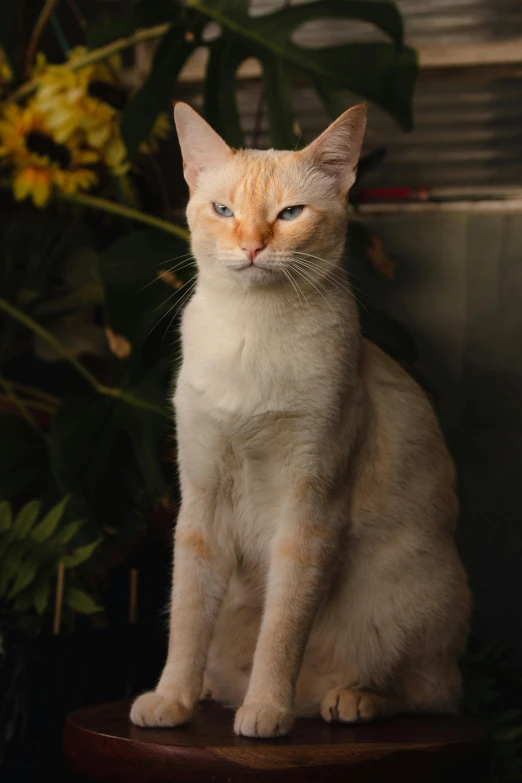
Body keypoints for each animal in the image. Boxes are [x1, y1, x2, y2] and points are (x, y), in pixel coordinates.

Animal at [129, 101, 468, 740]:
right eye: (224, 211)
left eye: (289, 214)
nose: (252, 247)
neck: (249, 333)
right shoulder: (202, 501)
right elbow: (186, 620)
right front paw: (171, 700)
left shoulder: (307, 512)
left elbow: (282, 630)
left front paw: (266, 711)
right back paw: (211, 691)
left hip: (408, 601)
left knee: (429, 694)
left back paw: (345, 700)